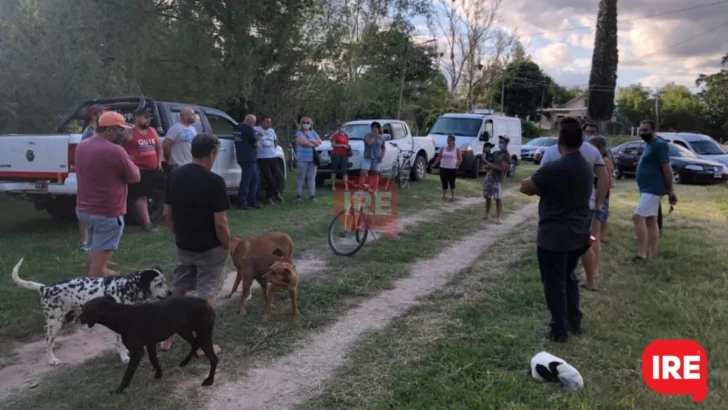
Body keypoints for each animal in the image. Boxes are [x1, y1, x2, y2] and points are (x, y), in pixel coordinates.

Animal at [11, 256, 172, 366]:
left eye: (165, 281)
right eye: (159, 283)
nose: (170, 292)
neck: (127, 287)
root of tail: (45, 288)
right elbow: (120, 343)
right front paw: (124, 357)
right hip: (55, 323)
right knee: (47, 341)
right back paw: (52, 359)